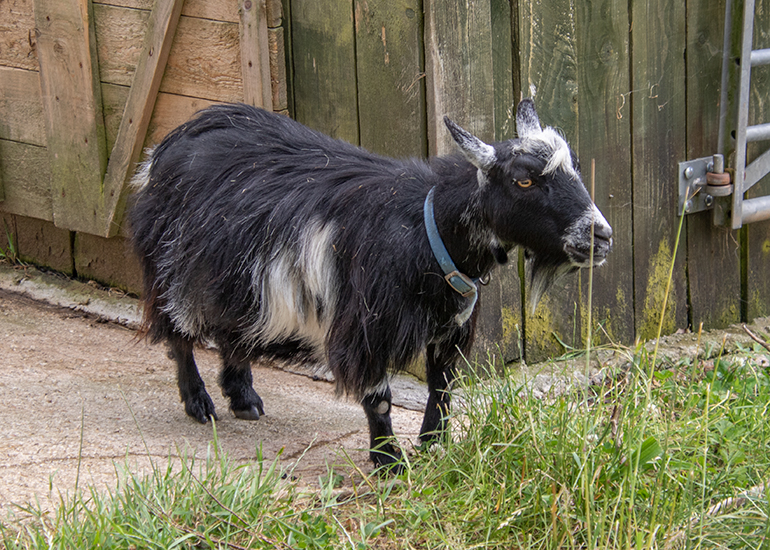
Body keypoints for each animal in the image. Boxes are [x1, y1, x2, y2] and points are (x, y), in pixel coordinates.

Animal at [128, 99, 612, 468]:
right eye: (523, 180)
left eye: (575, 169)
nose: (601, 236)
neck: (426, 227)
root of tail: (169, 144)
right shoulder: (366, 328)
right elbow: (379, 397)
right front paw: (390, 464)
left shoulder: (450, 327)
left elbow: (442, 388)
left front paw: (434, 447)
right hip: (171, 268)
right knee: (178, 334)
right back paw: (199, 403)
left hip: (237, 278)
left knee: (234, 332)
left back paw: (243, 396)